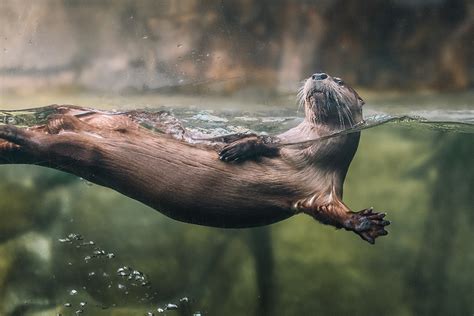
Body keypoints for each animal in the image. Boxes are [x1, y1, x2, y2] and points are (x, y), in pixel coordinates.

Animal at [0, 73, 388, 243]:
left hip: (78, 148)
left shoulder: (321, 187)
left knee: (42, 142)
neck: (310, 148)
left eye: (340, 80)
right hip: (84, 137)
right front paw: (234, 146)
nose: (319, 73)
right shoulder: (286, 142)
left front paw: (365, 222)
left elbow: (330, 212)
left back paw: (10, 136)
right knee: (47, 135)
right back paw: (13, 129)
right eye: (322, 74)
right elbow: (261, 140)